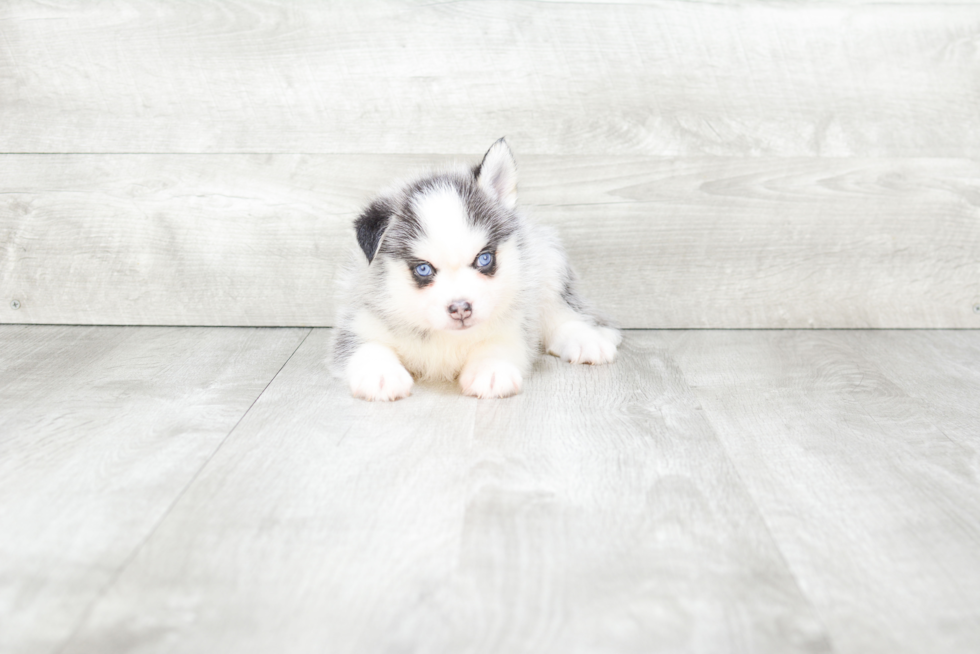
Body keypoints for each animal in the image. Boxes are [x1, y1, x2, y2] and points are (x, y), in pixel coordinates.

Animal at [334, 140, 616, 400]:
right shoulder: (359, 321)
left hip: (547, 263)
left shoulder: (514, 322)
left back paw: (588, 339)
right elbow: (367, 346)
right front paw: (380, 374)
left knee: (561, 311)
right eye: (423, 269)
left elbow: (498, 343)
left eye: (484, 259)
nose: (461, 308)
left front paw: (491, 370)